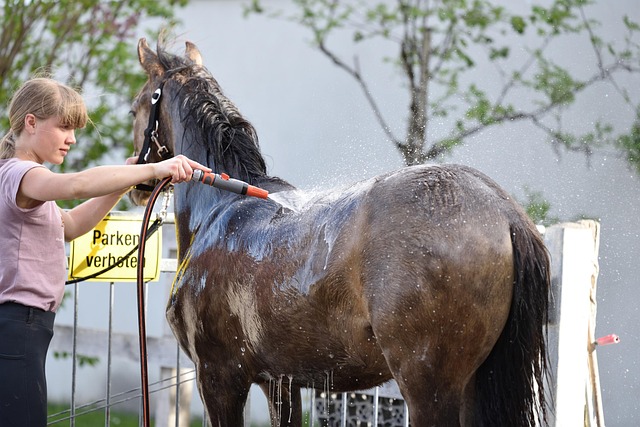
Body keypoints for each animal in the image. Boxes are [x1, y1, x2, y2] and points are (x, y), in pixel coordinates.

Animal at [130, 38, 550, 427]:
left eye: (135, 108)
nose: (138, 182)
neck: (222, 206)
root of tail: (503, 210)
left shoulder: (218, 378)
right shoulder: (280, 382)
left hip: (429, 388)